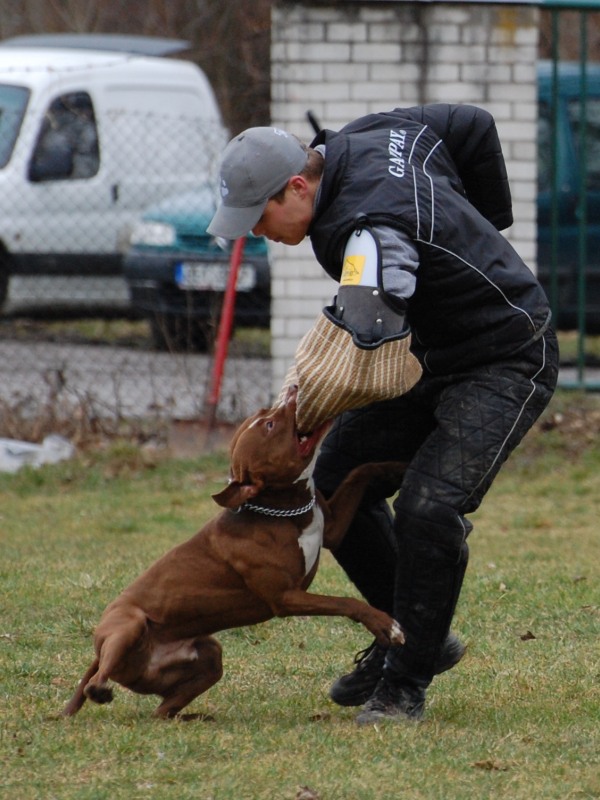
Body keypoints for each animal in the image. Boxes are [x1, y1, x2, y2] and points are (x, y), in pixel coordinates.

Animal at [61, 388, 404, 720]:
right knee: (97, 681)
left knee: (160, 711)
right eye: (270, 425)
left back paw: (191, 717)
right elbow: (345, 602)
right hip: (129, 625)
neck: (281, 509)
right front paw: (384, 624)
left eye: (265, 416)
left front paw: (395, 469)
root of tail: (99, 653)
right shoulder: (286, 598)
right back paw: (101, 691)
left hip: (208, 657)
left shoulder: (331, 528)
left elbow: (360, 471)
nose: (293, 389)